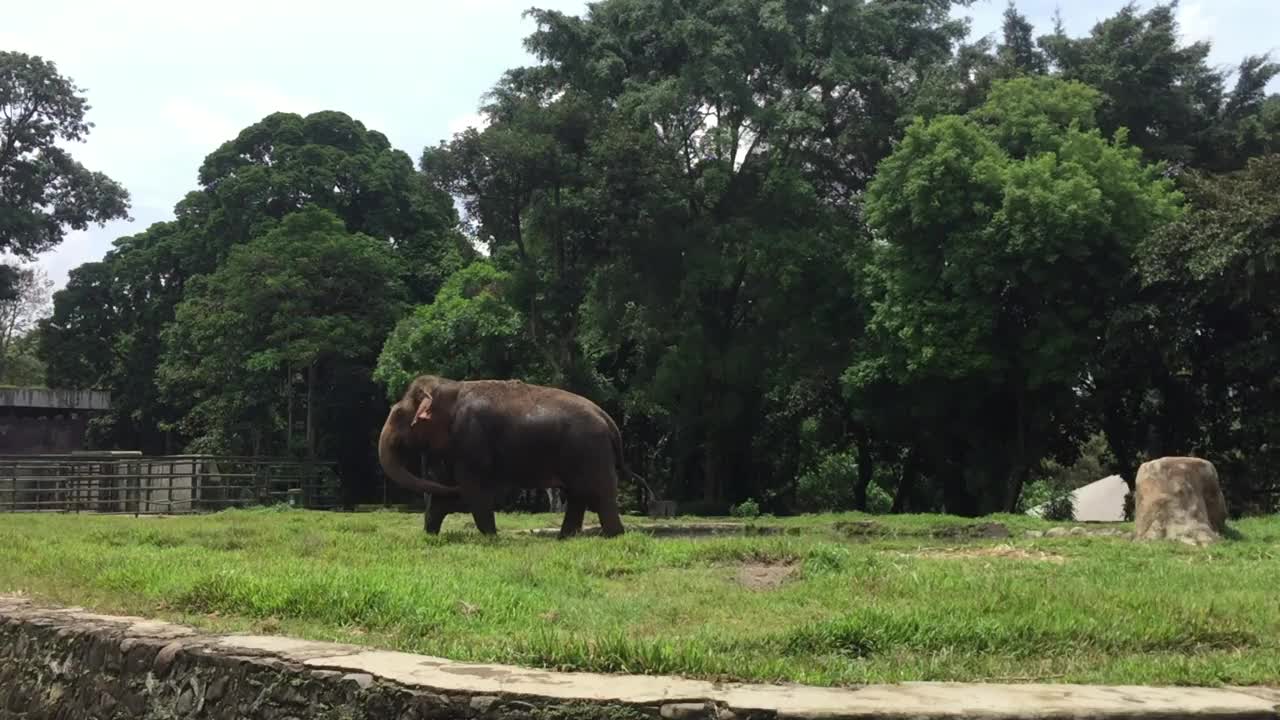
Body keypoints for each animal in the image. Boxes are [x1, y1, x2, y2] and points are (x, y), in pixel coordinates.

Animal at [373, 371, 650, 535]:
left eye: (399, 414)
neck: (451, 387)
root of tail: (607, 419)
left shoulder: (471, 438)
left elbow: (474, 488)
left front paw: (491, 537)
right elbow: (446, 488)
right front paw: (429, 534)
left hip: (590, 450)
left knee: (599, 493)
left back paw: (614, 536)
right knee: (578, 494)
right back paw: (565, 538)